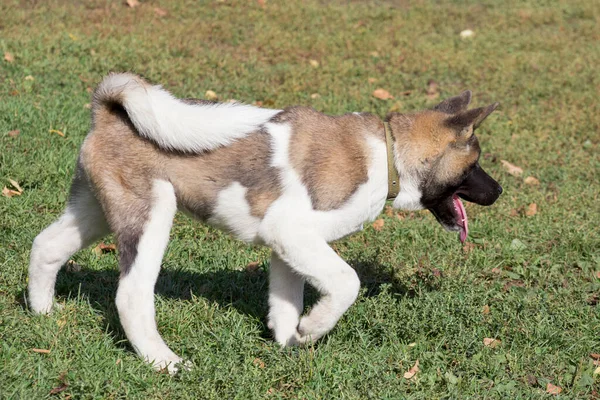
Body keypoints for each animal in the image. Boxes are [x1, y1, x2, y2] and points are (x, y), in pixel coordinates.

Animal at [27, 73, 502, 374]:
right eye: (475, 163)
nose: (499, 192)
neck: (387, 156)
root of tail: (109, 109)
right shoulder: (291, 233)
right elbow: (346, 283)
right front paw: (314, 328)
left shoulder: (288, 247)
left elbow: (286, 302)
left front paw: (291, 341)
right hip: (150, 217)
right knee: (131, 295)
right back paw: (164, 362)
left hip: (96, 211)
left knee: (46, 246)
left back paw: (43, 312)